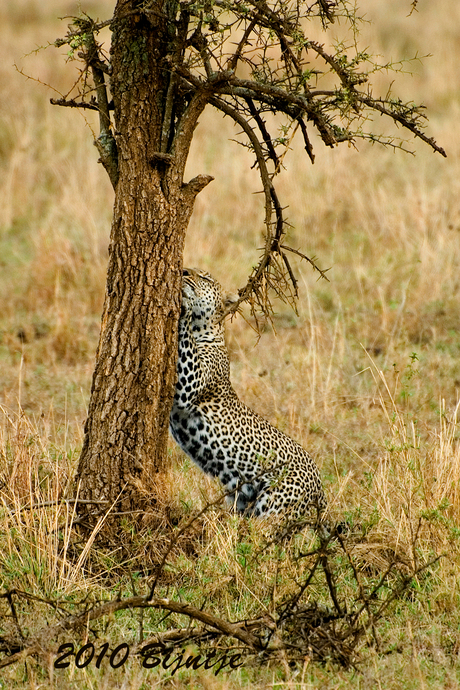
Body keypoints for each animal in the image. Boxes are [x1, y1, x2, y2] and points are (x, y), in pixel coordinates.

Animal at [169, 266, 328, 524]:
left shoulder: (188, 386)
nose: (182, 271)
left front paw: (185, 302)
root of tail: (321, 487)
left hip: (275, 503)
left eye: (204, 277)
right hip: (243, 499)